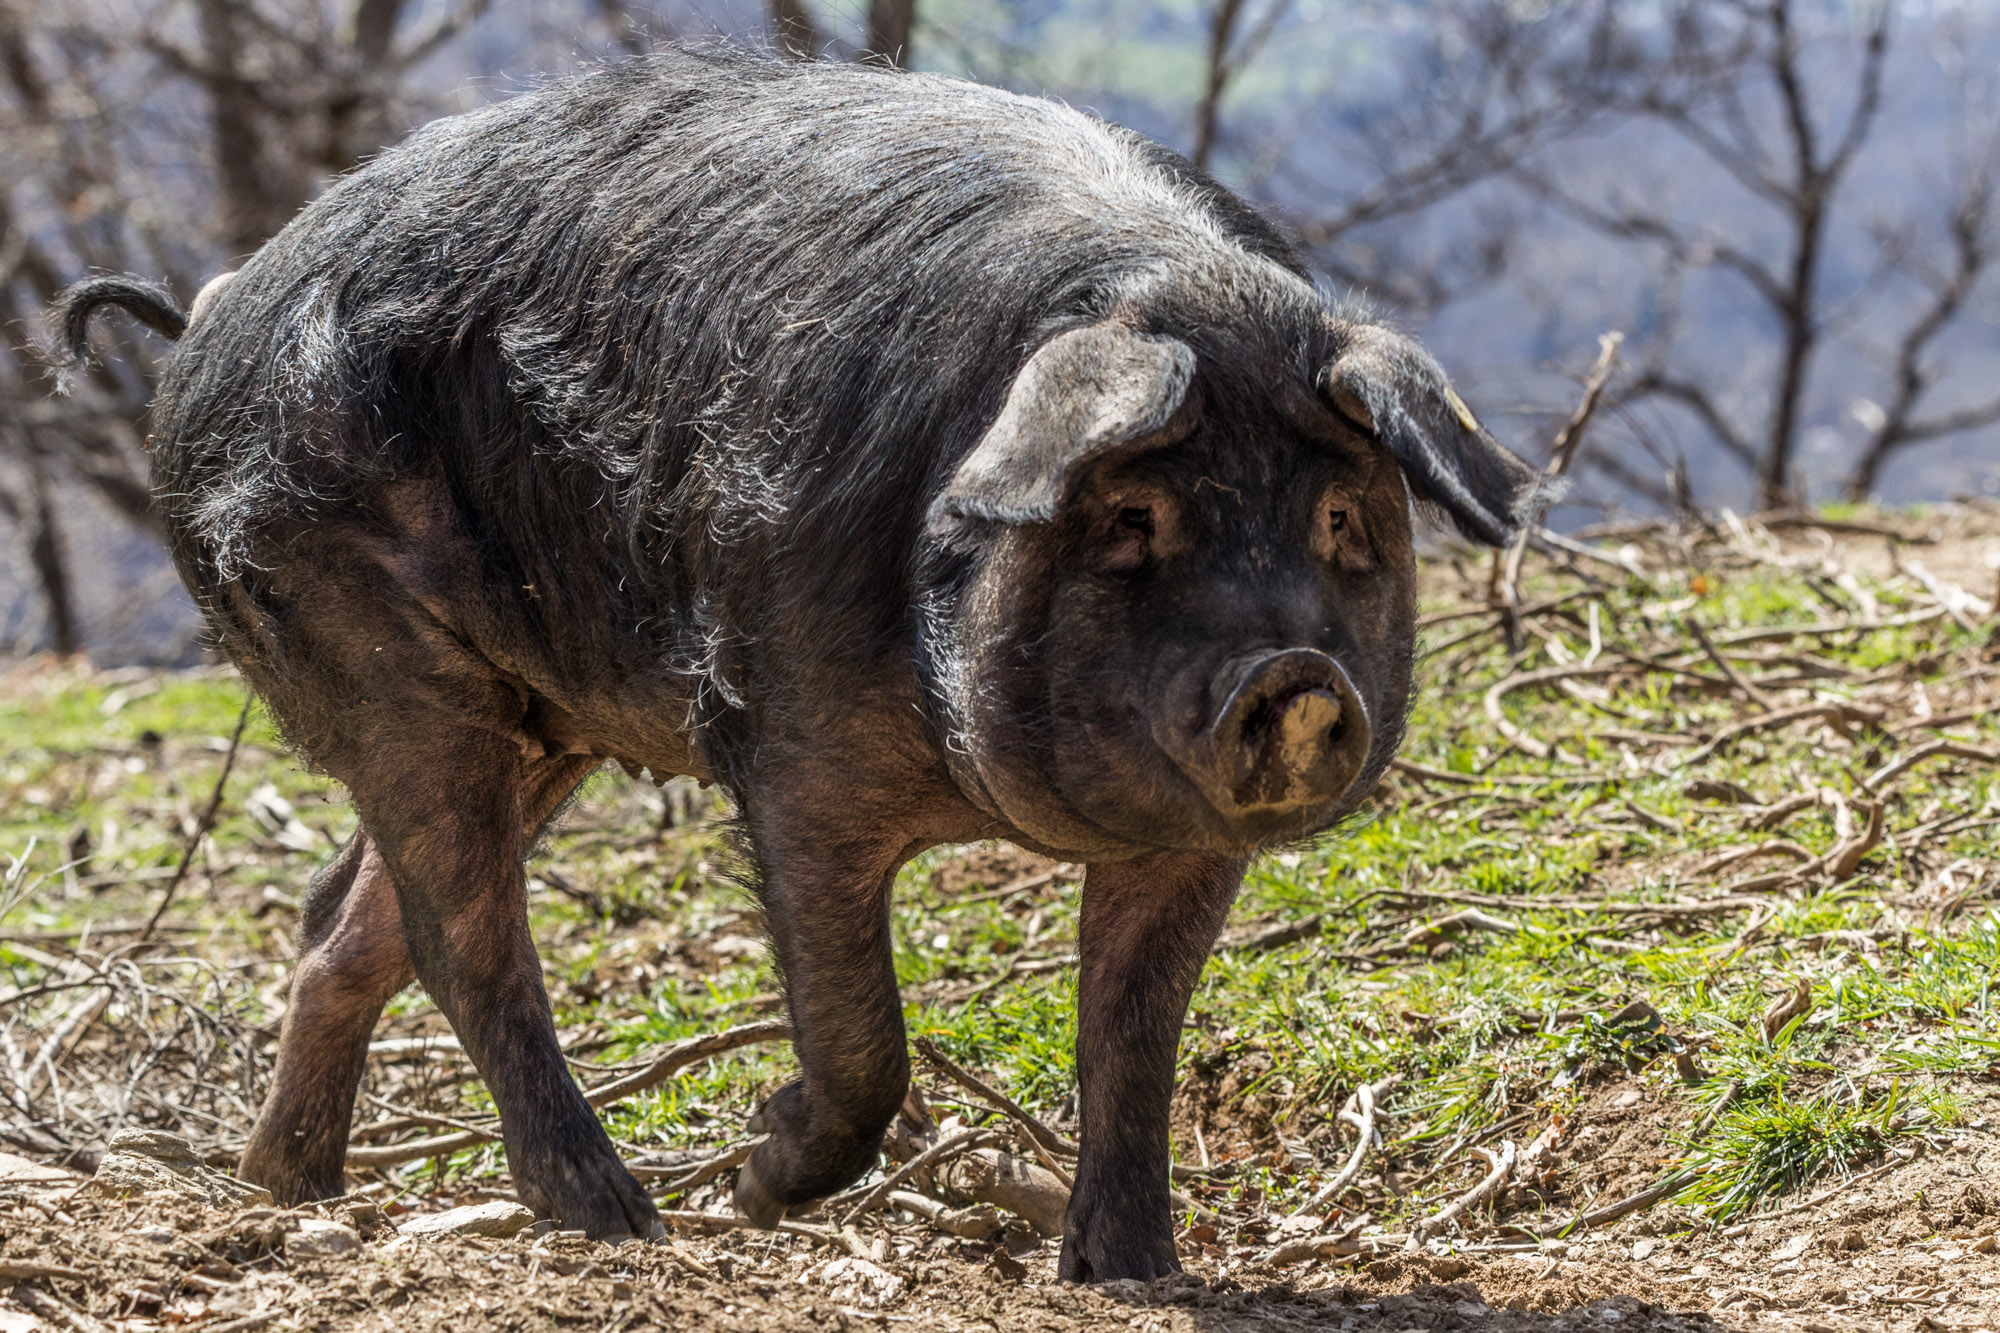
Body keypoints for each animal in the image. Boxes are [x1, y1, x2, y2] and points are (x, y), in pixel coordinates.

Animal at [50, 49, 1544, 1280]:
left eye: (1341, 522)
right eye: (1131, 522)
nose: (1291, 673)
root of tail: (206, 319)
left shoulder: (1184, 839)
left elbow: (1131, 1037)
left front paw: (1129, 1275)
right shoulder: (792, 756)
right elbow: (860, 1038)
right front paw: (758, 1192)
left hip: (536, 718)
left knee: (338, 925)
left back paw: (289, 1189)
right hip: (374, 650)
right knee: (458, 935)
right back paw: (619, 1218)